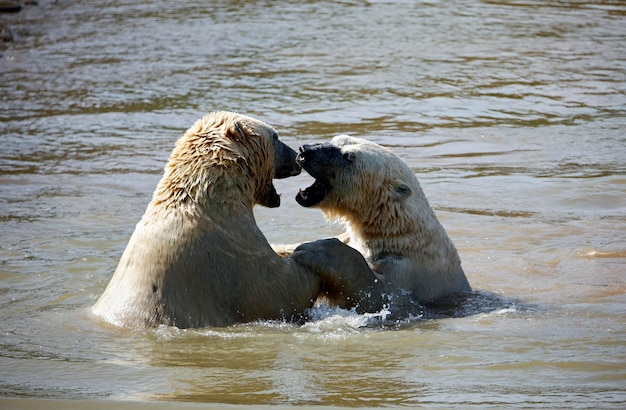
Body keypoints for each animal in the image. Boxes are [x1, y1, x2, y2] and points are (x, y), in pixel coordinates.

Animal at [292, 136, 468, 306]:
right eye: (336, 139)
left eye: (349, 156)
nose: (304, 151)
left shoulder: (407, 272)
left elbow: (377, 294)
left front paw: (317, 249)